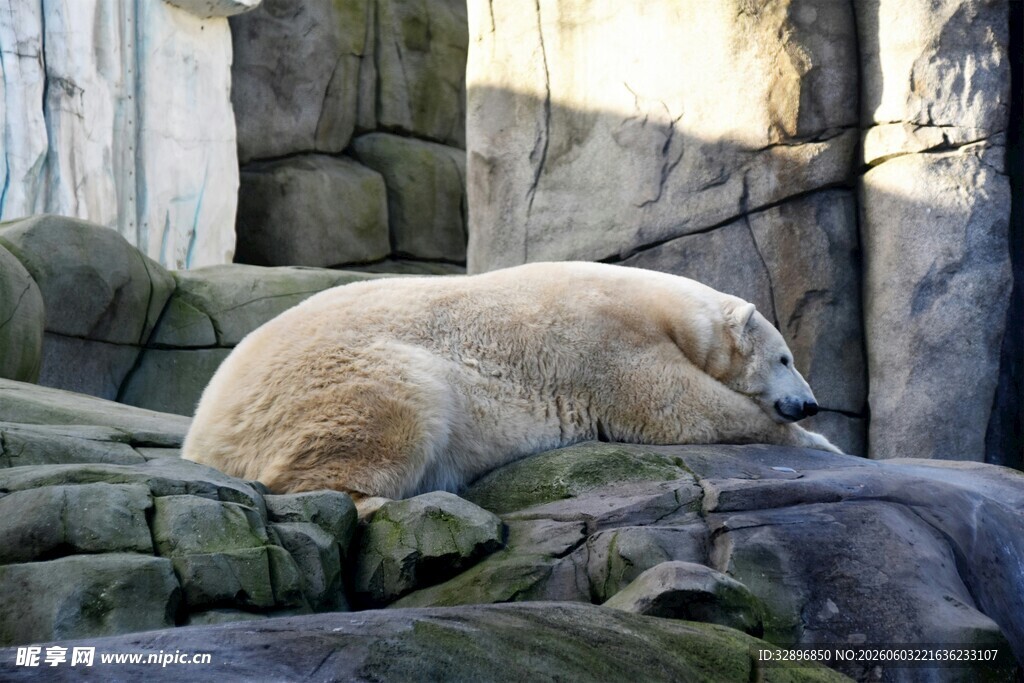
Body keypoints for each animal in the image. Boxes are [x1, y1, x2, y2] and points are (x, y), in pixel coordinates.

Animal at [182, 261, 840, 516]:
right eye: (785, 357)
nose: (809, 400)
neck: (666, 310)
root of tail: (203, 432)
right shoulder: (608, 340)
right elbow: (675, 406)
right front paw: (819, 442)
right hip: (341, 374)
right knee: (392, 406)